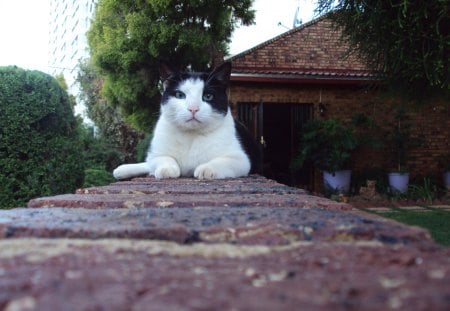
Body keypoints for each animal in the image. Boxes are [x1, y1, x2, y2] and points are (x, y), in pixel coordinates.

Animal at [112, 61, 256, 182]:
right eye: (180, 95)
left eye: (208, 96)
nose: (193, 108)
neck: (190, 136)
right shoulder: (156, 154)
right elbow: (162, 158)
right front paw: (167, 169)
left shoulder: (241, 160)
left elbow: (222, 161)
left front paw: (207, 168)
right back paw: (122, 170)